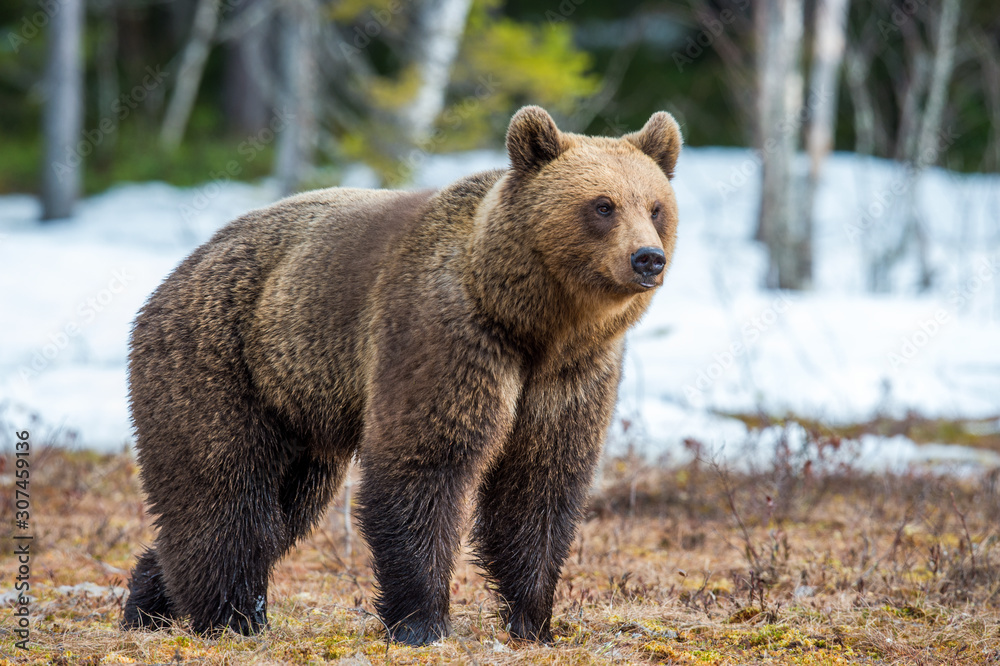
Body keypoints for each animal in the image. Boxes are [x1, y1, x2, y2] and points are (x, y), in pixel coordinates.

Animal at [122, 105, 682, 646]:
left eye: (656, 206)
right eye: (603, 205)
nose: (648, 258)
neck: (531, 322)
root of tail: (175, 274)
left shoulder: (572, 374)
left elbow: (539, 485)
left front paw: (535, 621)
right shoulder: (446, 338)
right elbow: (422, 466)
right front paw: (421, 623)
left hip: (298, 411)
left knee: (286, 504)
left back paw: (148, 602)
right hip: (218, 361)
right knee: (223, 492)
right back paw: (233, 617)